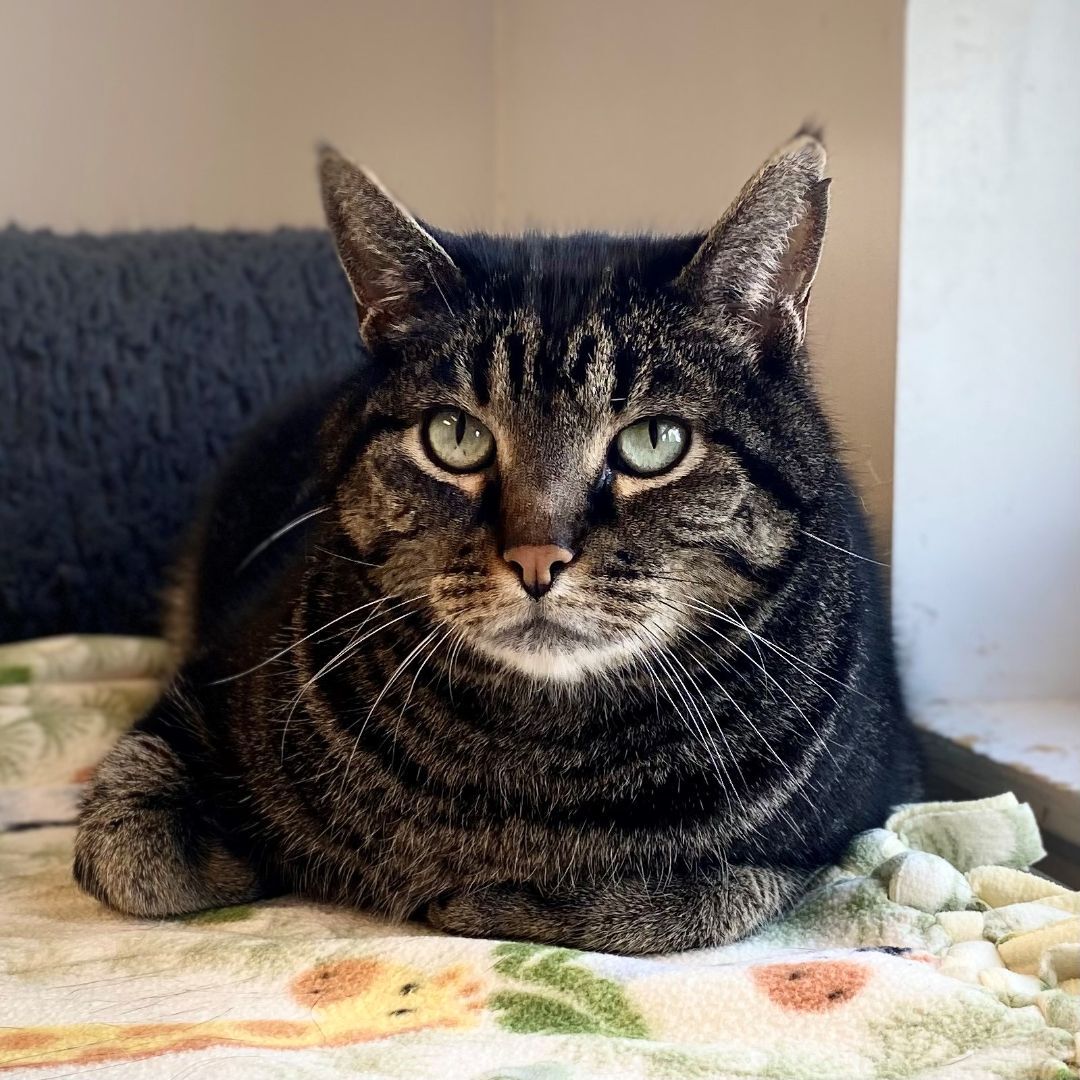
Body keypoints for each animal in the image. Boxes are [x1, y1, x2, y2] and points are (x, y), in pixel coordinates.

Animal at [73, 128, 920, 954]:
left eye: (654, 441)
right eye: (455, 435)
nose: (536, 557)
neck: (536, 759)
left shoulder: (858, 811)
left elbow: (714, 898)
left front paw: (491, 899)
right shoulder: (200, 689)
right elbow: (132, 854)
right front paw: (251, 850)